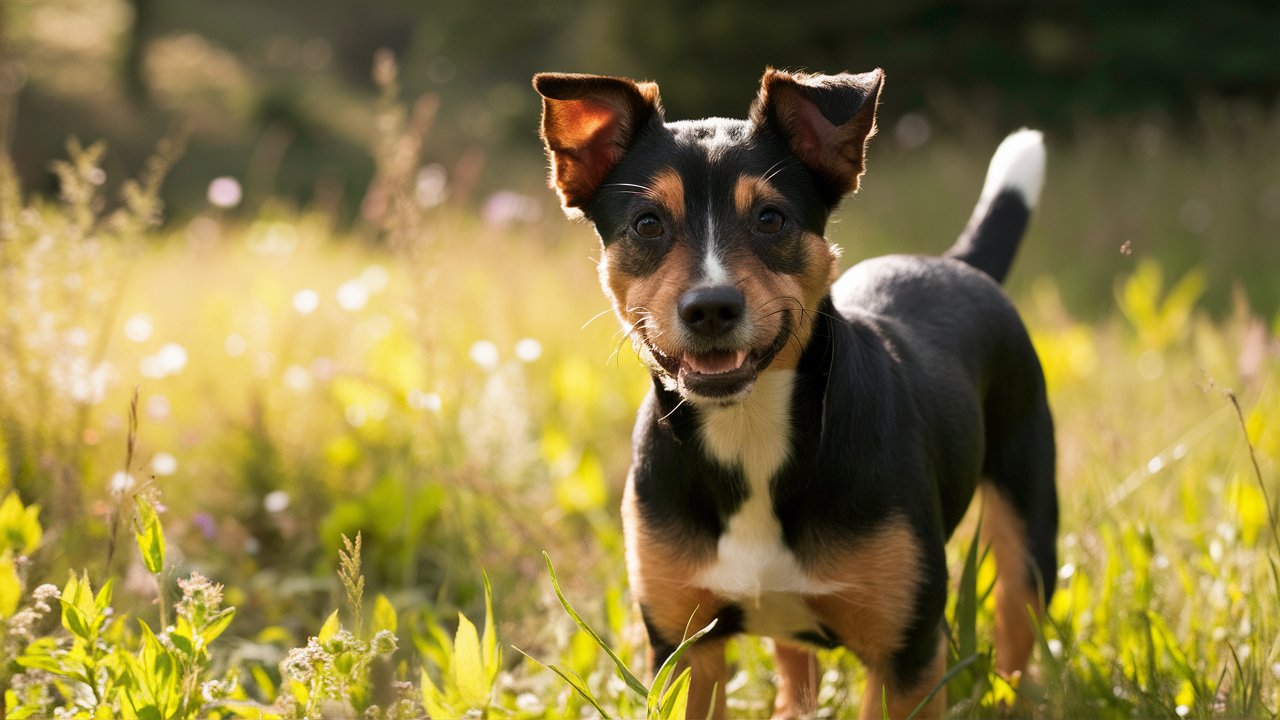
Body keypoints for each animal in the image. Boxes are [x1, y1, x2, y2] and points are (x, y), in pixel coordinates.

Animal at [532, 68, 1059, 717]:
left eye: (771, 219)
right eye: (647, 223)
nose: (711, 307)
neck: (750, 432)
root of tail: (958, 264)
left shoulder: (906, 653)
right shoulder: (683, 647)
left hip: (1029, 527)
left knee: (1016, 627)